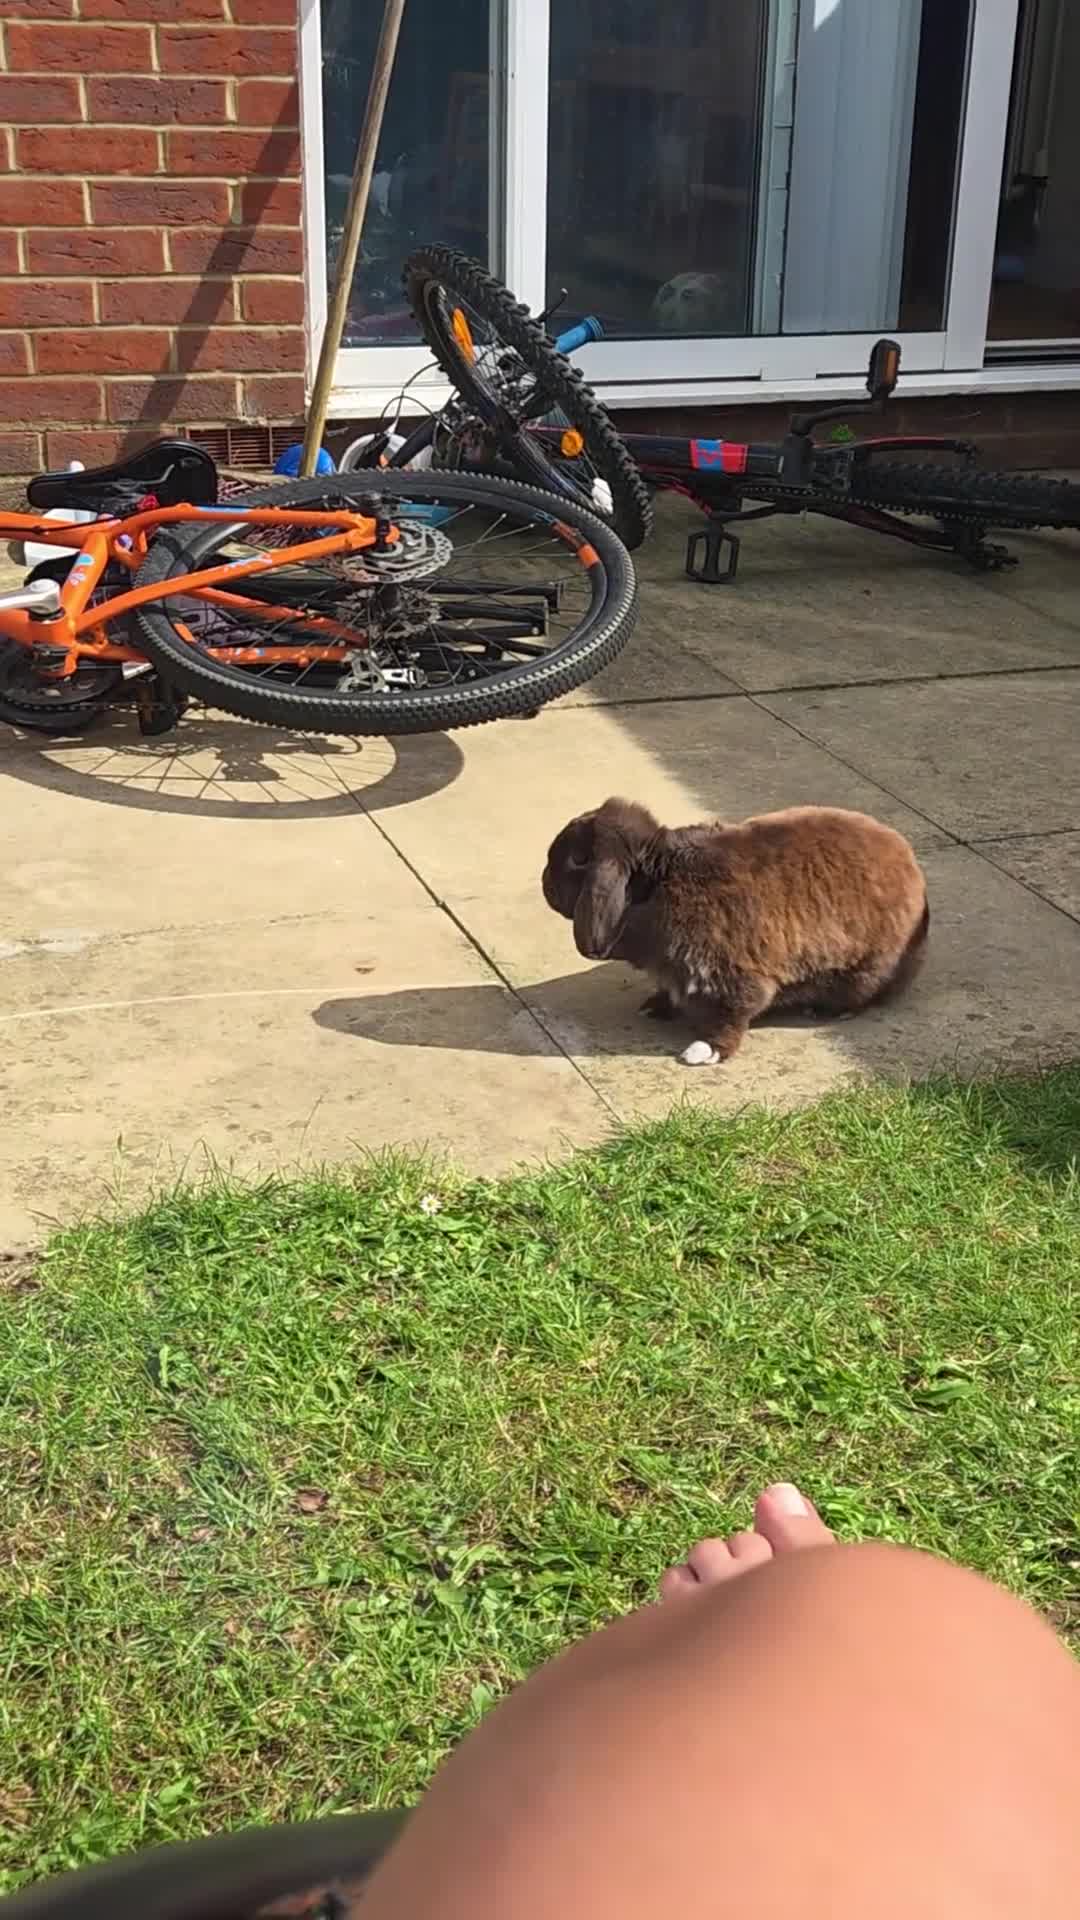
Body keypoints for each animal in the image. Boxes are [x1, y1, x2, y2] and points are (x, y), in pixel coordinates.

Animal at [542, 797, 929, 1065]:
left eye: (577, 860)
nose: (544, 882)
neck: (656, 883)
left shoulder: (736, 981)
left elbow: (731, 1018)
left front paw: (703, 1052)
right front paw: (655, 1006)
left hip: (864, 971)